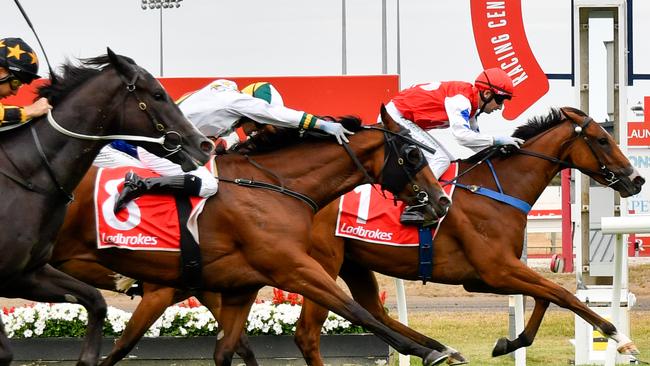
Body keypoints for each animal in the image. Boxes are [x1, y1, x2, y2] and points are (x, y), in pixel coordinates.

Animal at [53, 108, 454, 366]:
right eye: (412, 154)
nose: (441, 200)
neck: (273, 186)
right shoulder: (292, 268)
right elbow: (357, 311)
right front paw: (434, 352)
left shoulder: (237, 285)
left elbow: (229, 350)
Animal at [292, 106, 644, 364]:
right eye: (601, 140)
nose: (637, 179)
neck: (497, 191)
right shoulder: (497, 269)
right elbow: (563, 294)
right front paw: (620, 338)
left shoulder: (483, 277)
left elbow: (546, 297)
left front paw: (509, 343)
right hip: (321, 264)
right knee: (309, 333)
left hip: (353, 263)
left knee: (374, 312)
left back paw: (442, 349)